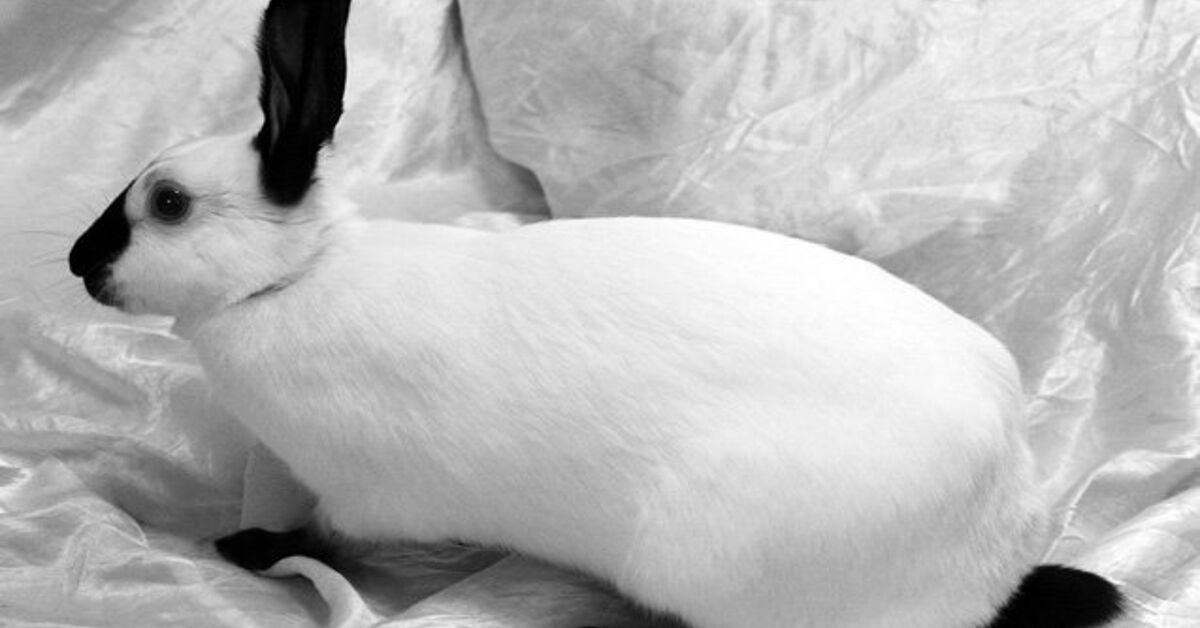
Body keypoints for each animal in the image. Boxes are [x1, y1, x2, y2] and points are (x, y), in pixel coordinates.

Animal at [67, 0, 1123, 627]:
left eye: (167, 204)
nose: (77, 263)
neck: (302, 273)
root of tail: (995, 557)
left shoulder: (366, 493)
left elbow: (324, 537)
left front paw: (245, 549)